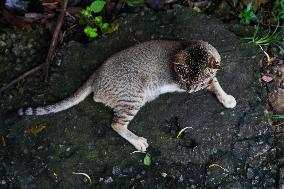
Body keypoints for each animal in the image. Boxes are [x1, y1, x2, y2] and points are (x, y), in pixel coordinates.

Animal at [17, 39, 235, 152]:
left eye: (195, 82)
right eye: (184, 80)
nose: (189, 90)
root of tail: (96, 74)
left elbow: (215, 82)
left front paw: (225, 98)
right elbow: (214, 81)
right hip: (133, 98)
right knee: (116, 124)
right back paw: (137, 141)